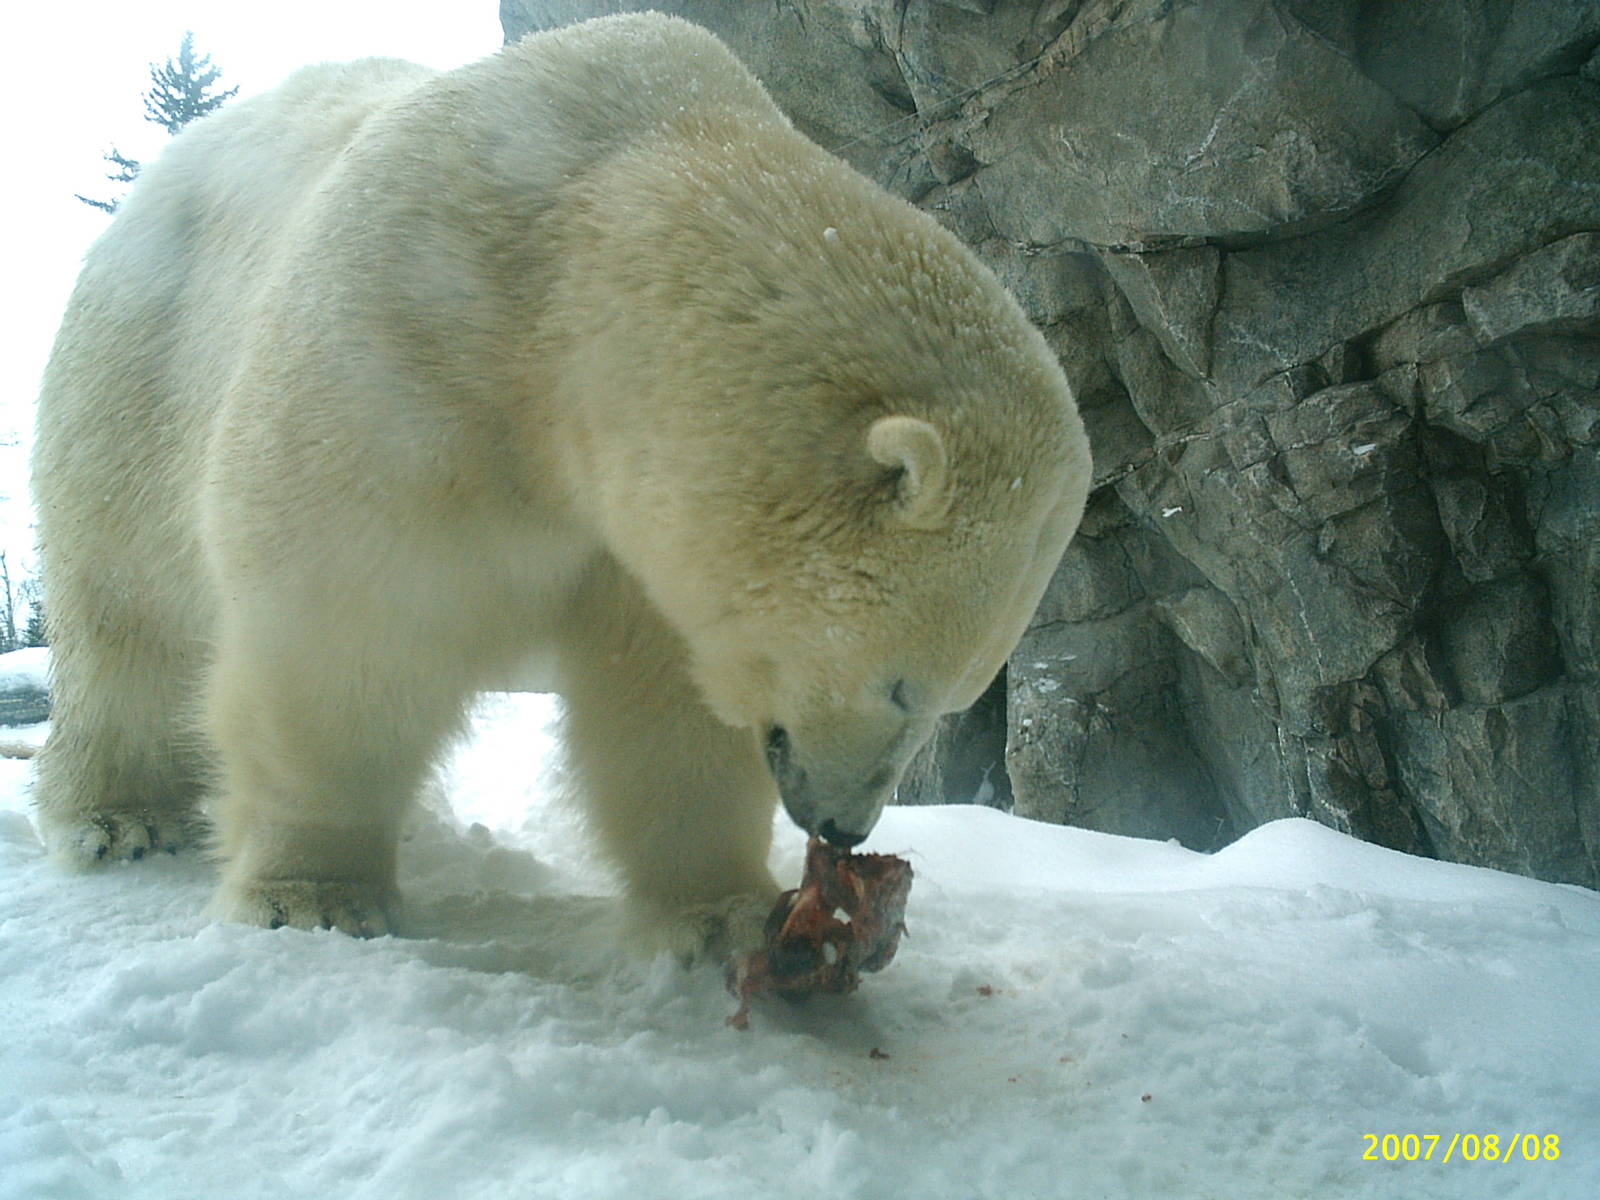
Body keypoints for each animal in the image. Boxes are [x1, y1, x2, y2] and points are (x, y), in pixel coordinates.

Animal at [31, 13, 1090, 955]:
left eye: (958, 698)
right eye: (904, 686)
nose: (843, 827)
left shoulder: (642, 531)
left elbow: (667, 706)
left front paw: (723, 913)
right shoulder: (398, 351)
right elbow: (348, 623)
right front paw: (313, 896)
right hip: (135, 370)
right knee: (125, 615)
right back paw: (122, 817)